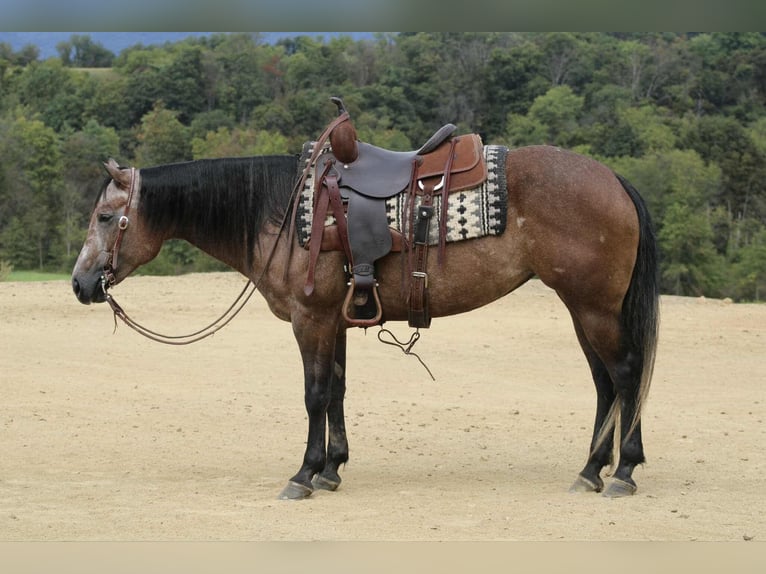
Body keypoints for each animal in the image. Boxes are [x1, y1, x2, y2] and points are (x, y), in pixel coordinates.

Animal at [71, 143, 659, 500]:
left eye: (105, 216)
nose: (80, 284)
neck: (284, 214)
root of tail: (612, 178)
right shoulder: (334, 321)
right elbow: (336, 391)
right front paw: (332, 468)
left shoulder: (309, 319)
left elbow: (313, 394)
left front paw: (303, 474)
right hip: (581, 308)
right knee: (605, 384)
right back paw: (590, 470)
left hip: (594, 307)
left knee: (627, 375)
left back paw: (623, 472)